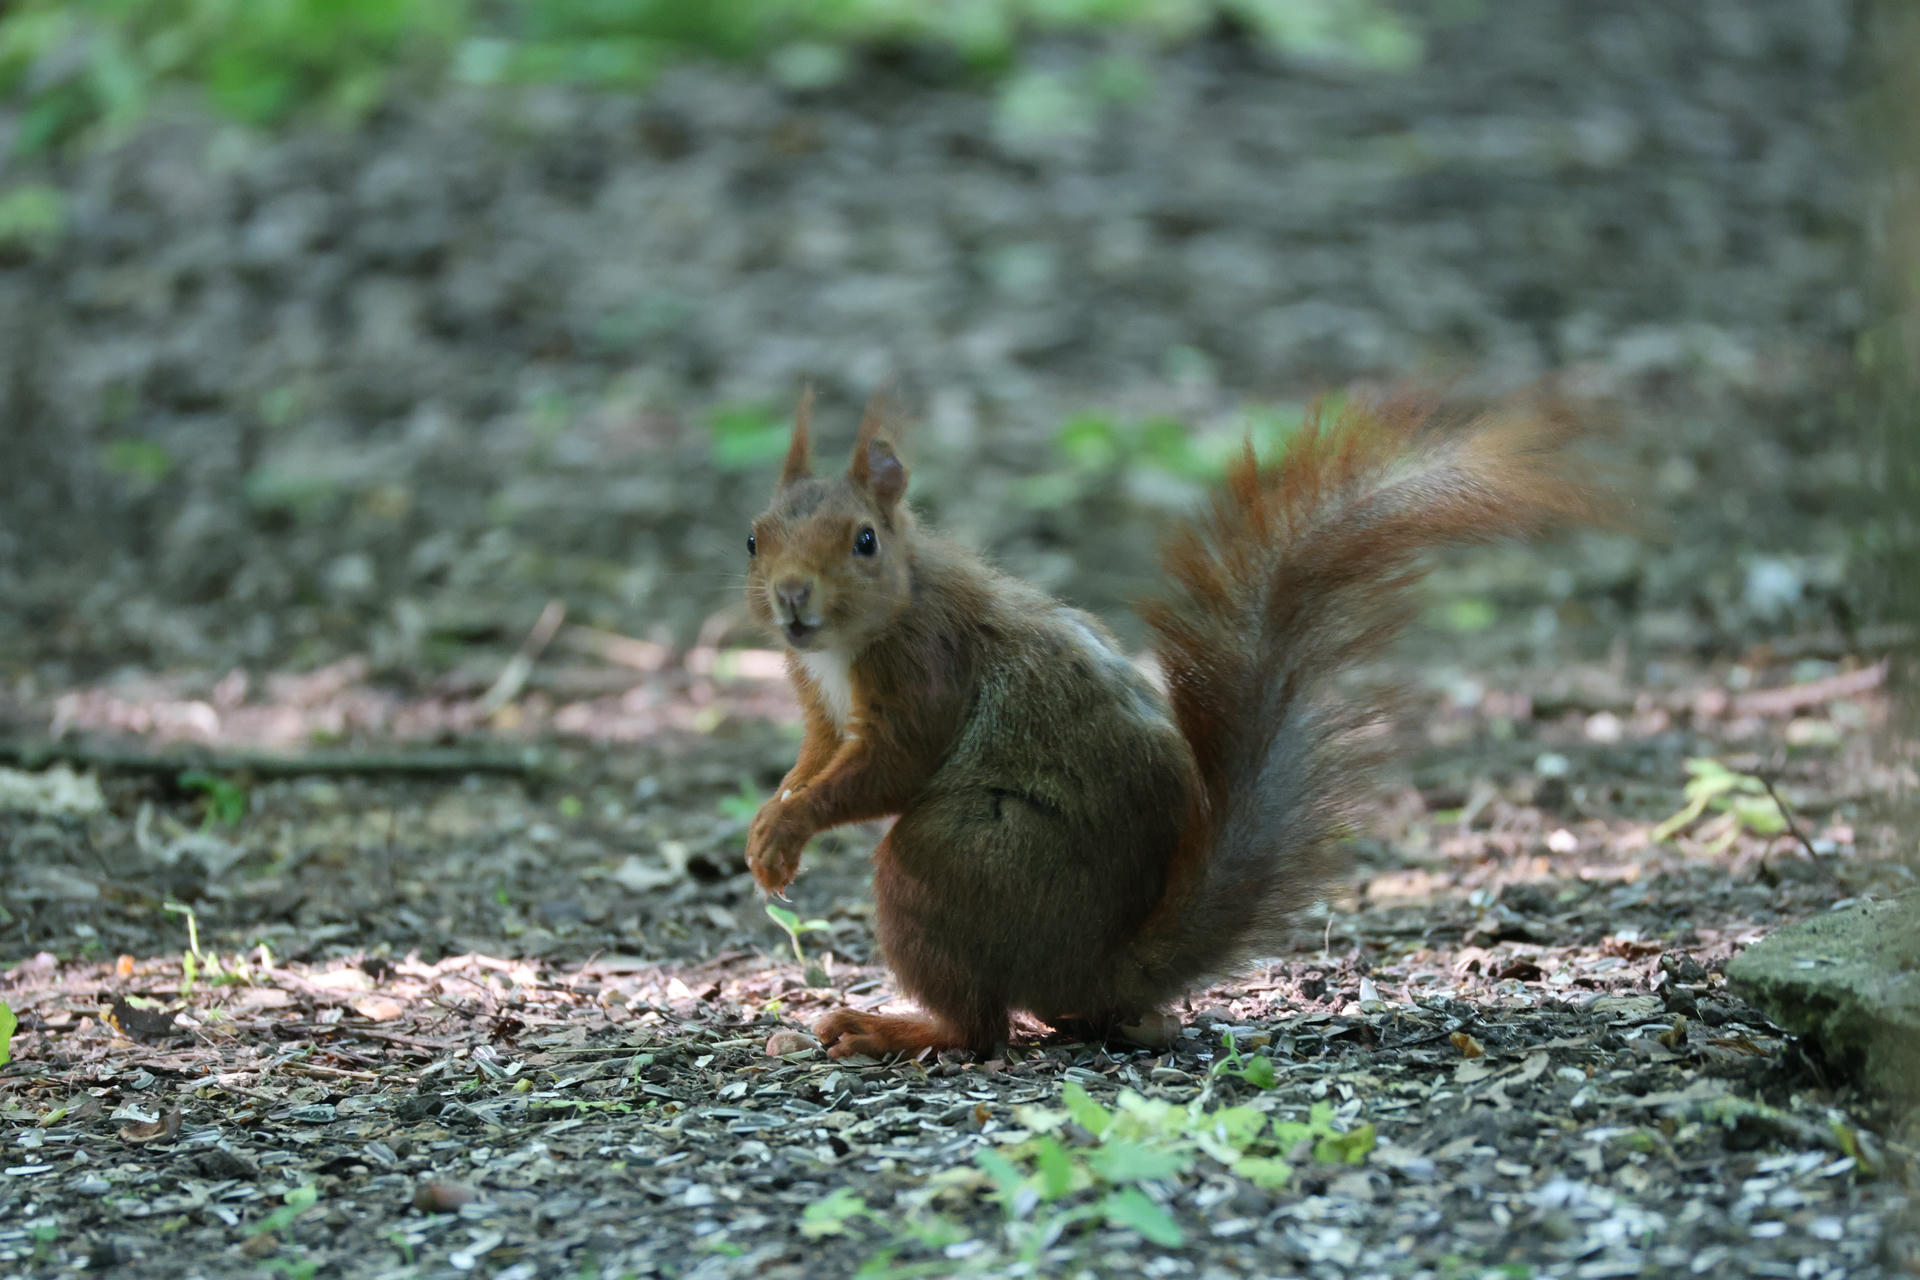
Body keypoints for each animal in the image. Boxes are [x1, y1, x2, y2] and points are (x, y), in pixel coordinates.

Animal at [743, 386, 1603, 1060]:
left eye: (865, 541)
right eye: (753, 538)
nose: (792, 598)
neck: (864, 630)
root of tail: (1093, 962)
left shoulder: (927, 666)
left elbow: (892, 767)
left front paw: (790, 827)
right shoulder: (820, 701)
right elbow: (817, 756)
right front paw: (767, 827)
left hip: (957, 856)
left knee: (983, 1030)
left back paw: (889, 1029)